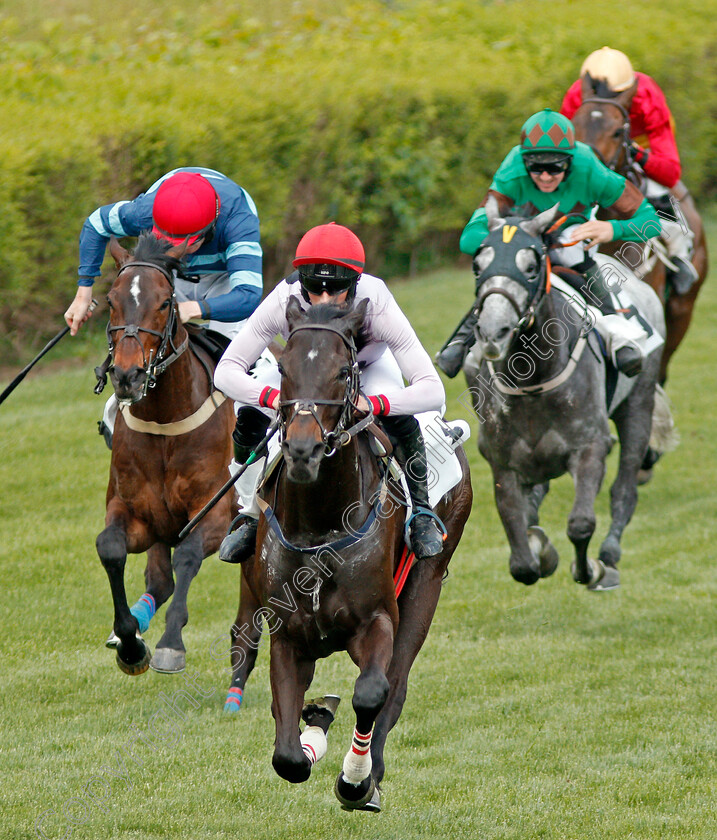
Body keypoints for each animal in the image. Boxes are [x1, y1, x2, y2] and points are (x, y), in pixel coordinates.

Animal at [95, 231, 234, 676]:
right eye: (111, 300)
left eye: (163, 302)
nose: (127, 375)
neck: (164, 422)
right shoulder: (138, 512)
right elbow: (111, 547)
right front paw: (129, 643)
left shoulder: (216, 511)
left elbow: (188, 555)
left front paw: (170, 644)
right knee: (159, 579)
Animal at [224, 298, 470, 812]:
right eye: (283, 368)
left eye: (343, 371)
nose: (302, 448)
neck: (320, 525)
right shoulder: (288, 636)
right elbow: (287, 754)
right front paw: (314, 726)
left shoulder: (376, 619)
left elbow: (372, 693)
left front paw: (354, 780)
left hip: (426, 587)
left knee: (394, 689)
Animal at [458, 199, 672, 592]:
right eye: (478, 265)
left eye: (530, 267)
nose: (493, 331)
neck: (532, 381)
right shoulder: (502, 463)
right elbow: (521, 558)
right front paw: (539, 551)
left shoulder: (590, 448)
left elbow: (580, 524)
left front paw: (590, 569)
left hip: (638, 403)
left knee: (625, 489)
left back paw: (609, 555)